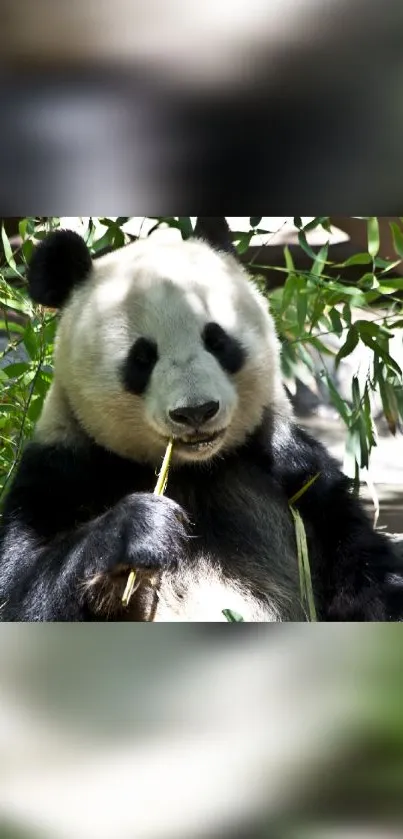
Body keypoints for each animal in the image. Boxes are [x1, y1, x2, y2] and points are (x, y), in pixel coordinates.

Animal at [0, 218, 403, 624]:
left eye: (217, 340)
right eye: (142, 358)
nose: (196, 412)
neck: (194, 470)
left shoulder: (296, 473)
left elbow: (366, 574)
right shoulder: (63, 470)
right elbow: (20, 592)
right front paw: (140, 532)